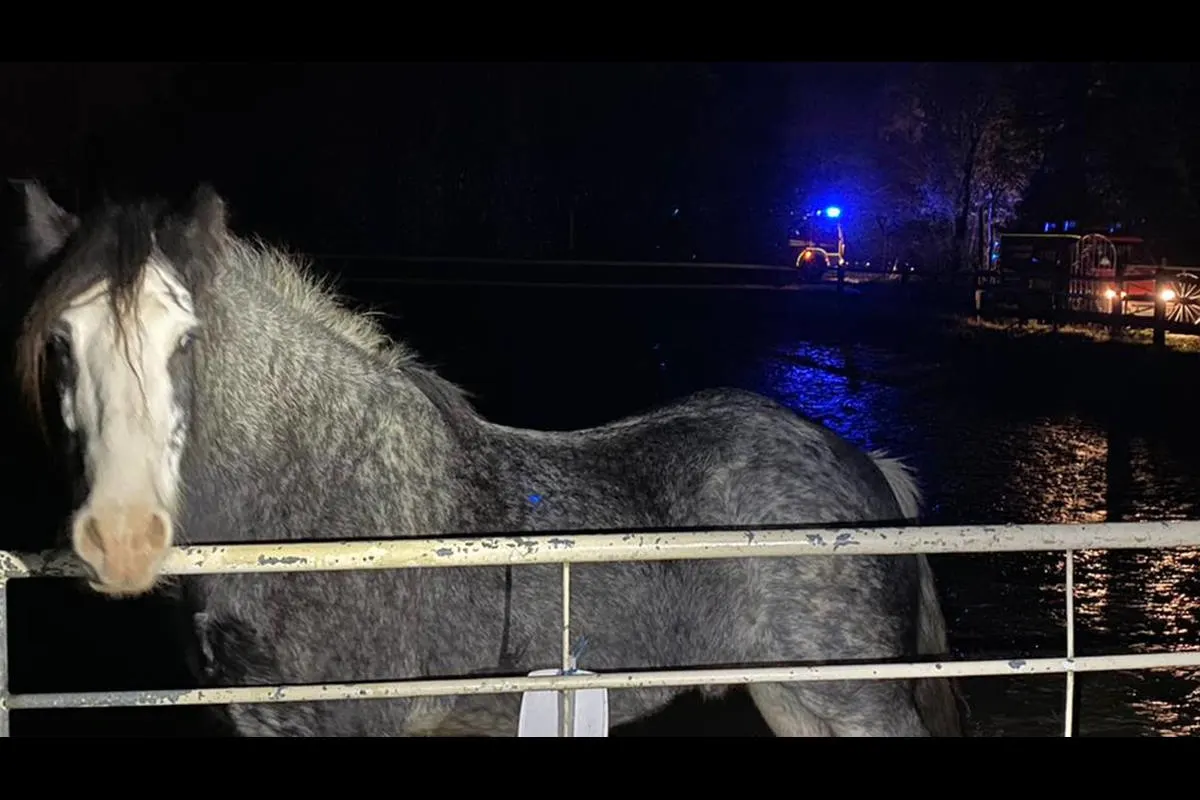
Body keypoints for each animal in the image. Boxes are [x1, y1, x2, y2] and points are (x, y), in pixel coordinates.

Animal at [11, 180, 965, 737]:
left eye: (187, 339)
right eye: (59, 341)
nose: (121, 537)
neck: (315, 502)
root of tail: (865, 465)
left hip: (855, 702)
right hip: (795, 697)